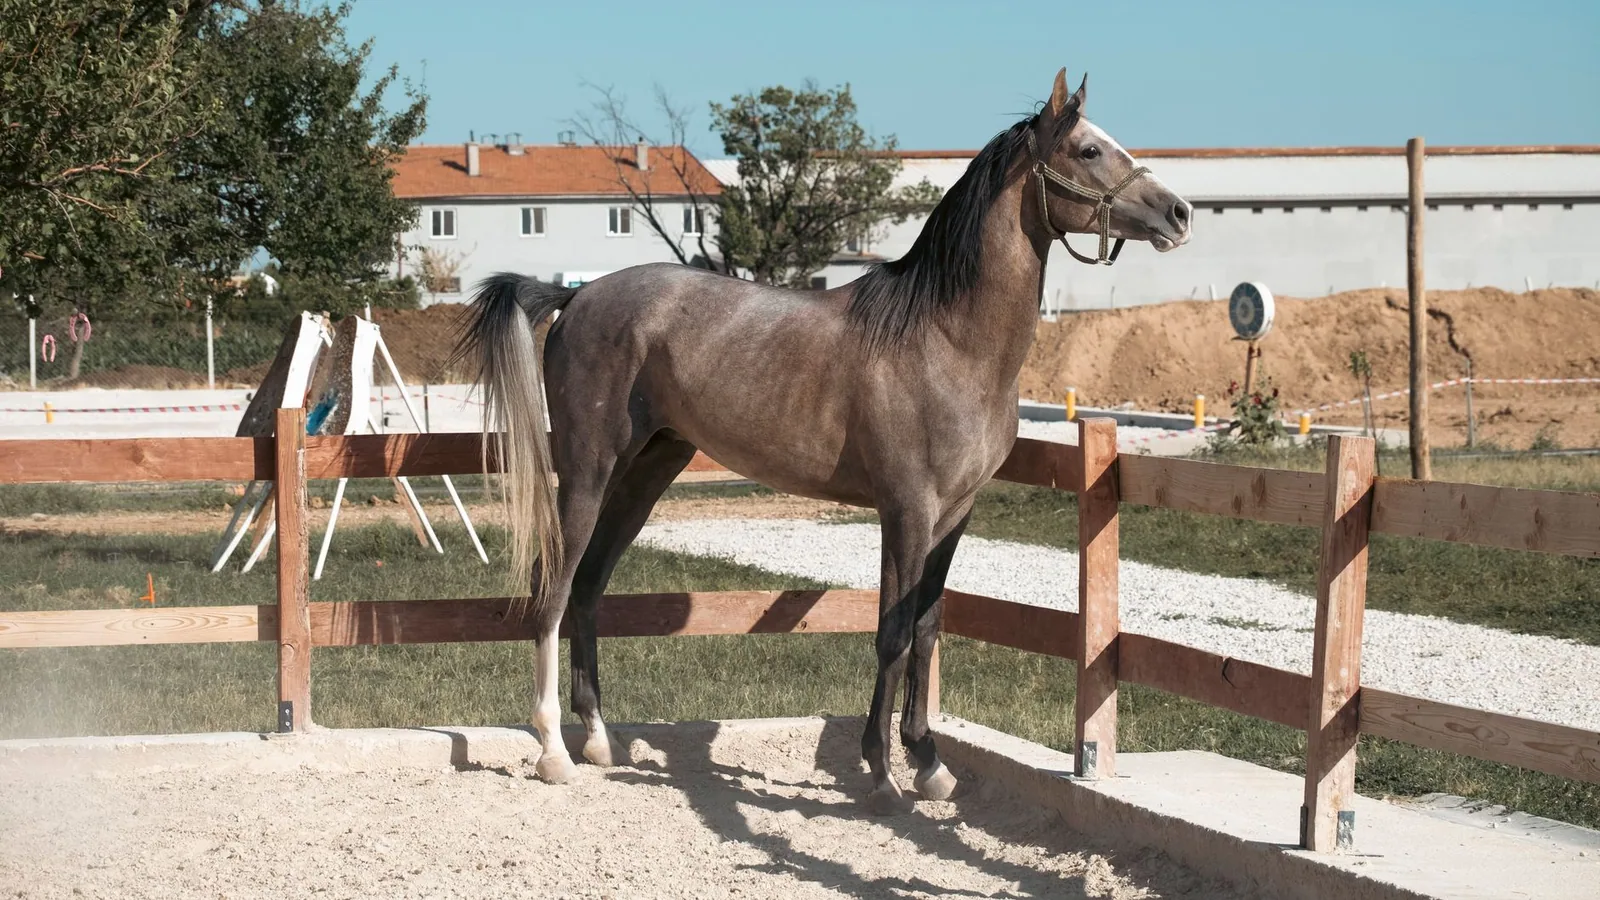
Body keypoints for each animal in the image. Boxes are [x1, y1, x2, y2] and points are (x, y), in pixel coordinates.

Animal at [459, 67, 1192, 814]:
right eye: (1088, 149)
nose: (1180, 213)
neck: (946, 338)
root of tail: (574, 297)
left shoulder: (955, 514)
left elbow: (926, 628)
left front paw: (929, 761)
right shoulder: (907, 510)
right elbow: (892, 631)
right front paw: (882, 771)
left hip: (647, 473)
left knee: (588, 588)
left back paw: (601, 740)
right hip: (587, 471)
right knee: (553, 591)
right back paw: (553, 751)